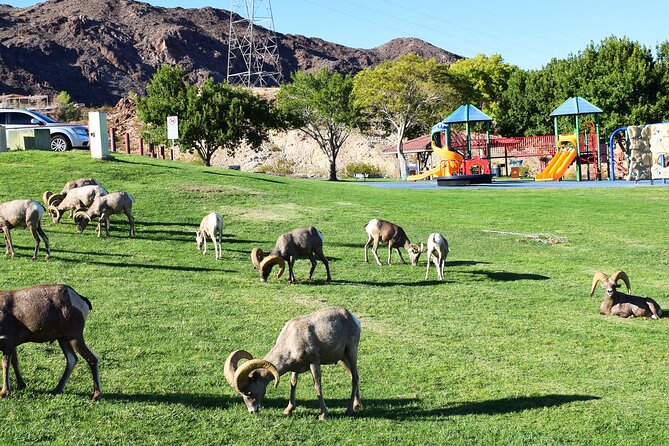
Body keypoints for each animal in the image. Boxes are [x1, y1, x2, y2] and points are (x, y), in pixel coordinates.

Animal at [224, 307, 361, 420]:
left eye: (249, 392)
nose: (252, 411)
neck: (291, 340)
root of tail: (352, 317)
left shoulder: (314, 363)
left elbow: (317, 386)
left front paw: (323, 415)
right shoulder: (295, 368)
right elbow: (293, 384)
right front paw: (288, 410)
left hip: (351, 353)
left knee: (354, 378)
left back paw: (349, 410)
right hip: (342, 360)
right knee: (353, 376)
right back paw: (357, 405)